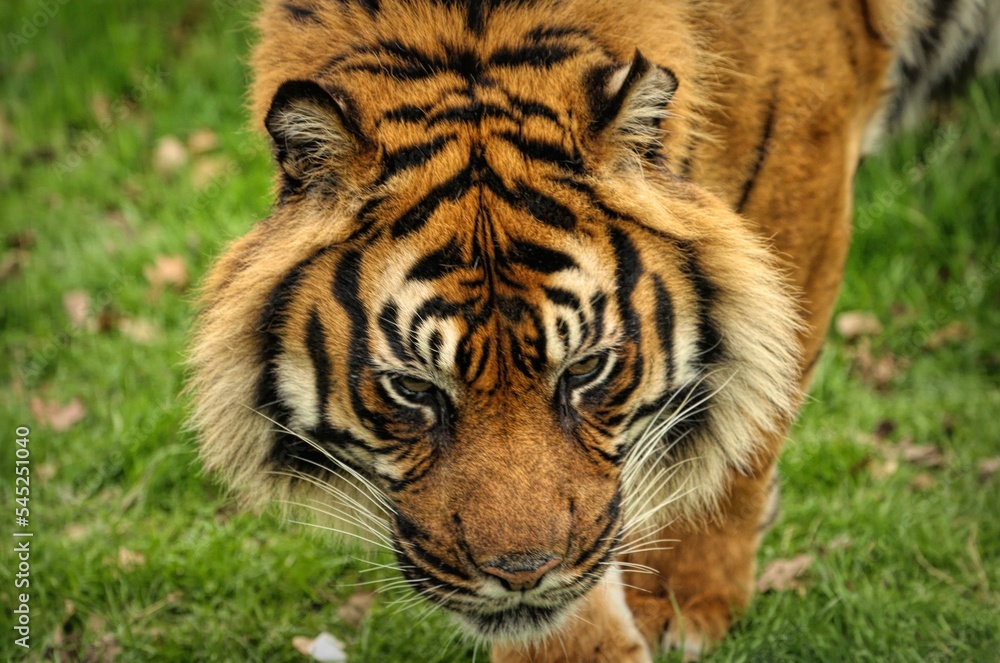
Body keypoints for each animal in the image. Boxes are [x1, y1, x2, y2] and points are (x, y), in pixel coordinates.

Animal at [188, 0, 999, 660]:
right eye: (413, 390)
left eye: (584, 370)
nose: (521, 575)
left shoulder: (798, 166)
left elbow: (743, 425)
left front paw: (685, 600)